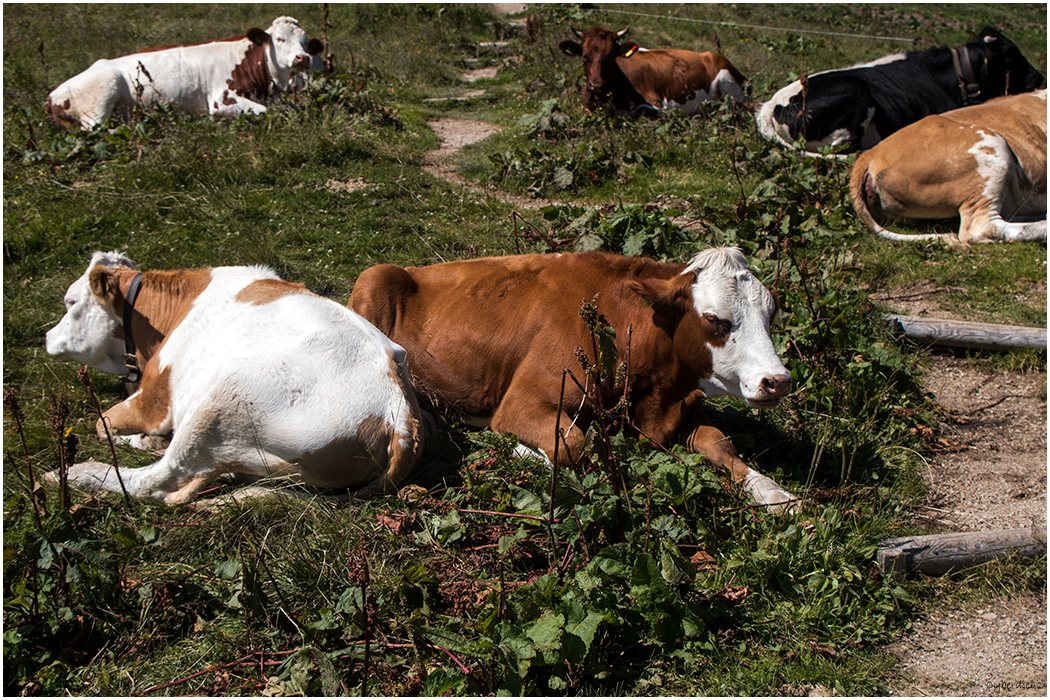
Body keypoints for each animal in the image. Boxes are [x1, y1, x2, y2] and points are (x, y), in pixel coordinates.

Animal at [44, 252, 424, 504]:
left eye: (70, 302)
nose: (47, 336)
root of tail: (399, 414)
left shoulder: (155, 399)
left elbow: (102, 424)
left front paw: (140, 440)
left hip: (222, 401)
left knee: (160, 483)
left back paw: (76, 473)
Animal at [46, 16, 324, 130]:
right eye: (279, 39)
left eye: (304, 42)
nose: (302, 58)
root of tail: (51, 96)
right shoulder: (221, 100)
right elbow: (266, 112)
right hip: (103, 91)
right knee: (95, 131)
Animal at [350, 248, 797, 510]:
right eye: (716, 320)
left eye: (771, 315)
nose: (778, 380)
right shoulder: (521, 403)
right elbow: (574, 444)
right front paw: (522, 451)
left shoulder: (676, 407)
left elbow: (721, 443)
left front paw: (773, 492)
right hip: (372, 278)